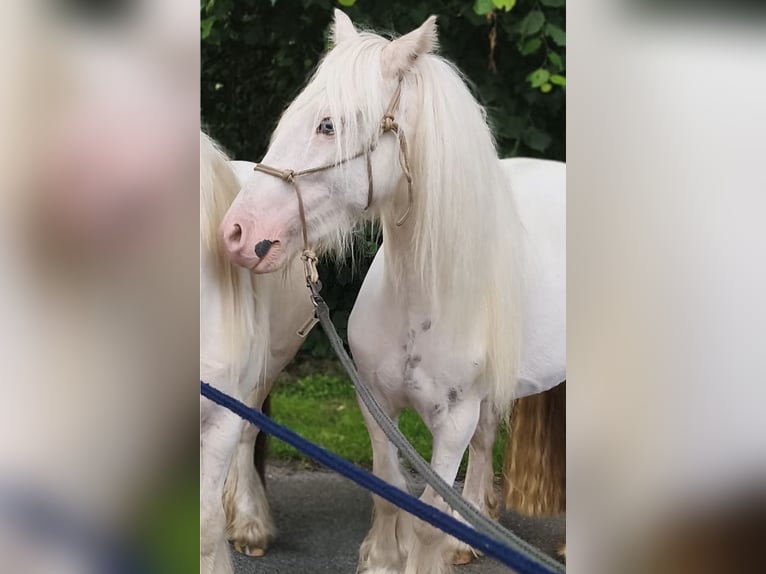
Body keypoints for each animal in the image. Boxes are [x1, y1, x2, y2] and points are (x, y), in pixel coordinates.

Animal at [221, 10, 565, 574]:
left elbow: (426, 519)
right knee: (487, 441)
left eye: (329, 125)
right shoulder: (376, 403)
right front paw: (383, 559)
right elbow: (388, 492)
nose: (236, 232)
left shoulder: (452, 424)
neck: (420, 298)